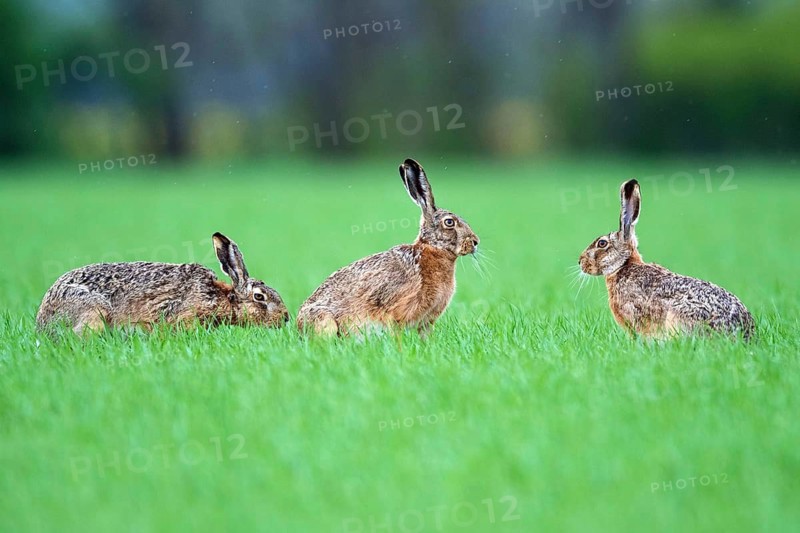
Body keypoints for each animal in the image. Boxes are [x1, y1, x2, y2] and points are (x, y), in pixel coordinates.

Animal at [296, 158, 480, 336]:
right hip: (325, 321)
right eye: (449, 222)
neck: (431, 249)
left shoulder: (426, 322)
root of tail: (298, 325)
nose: (475, 242)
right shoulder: (396, 312)